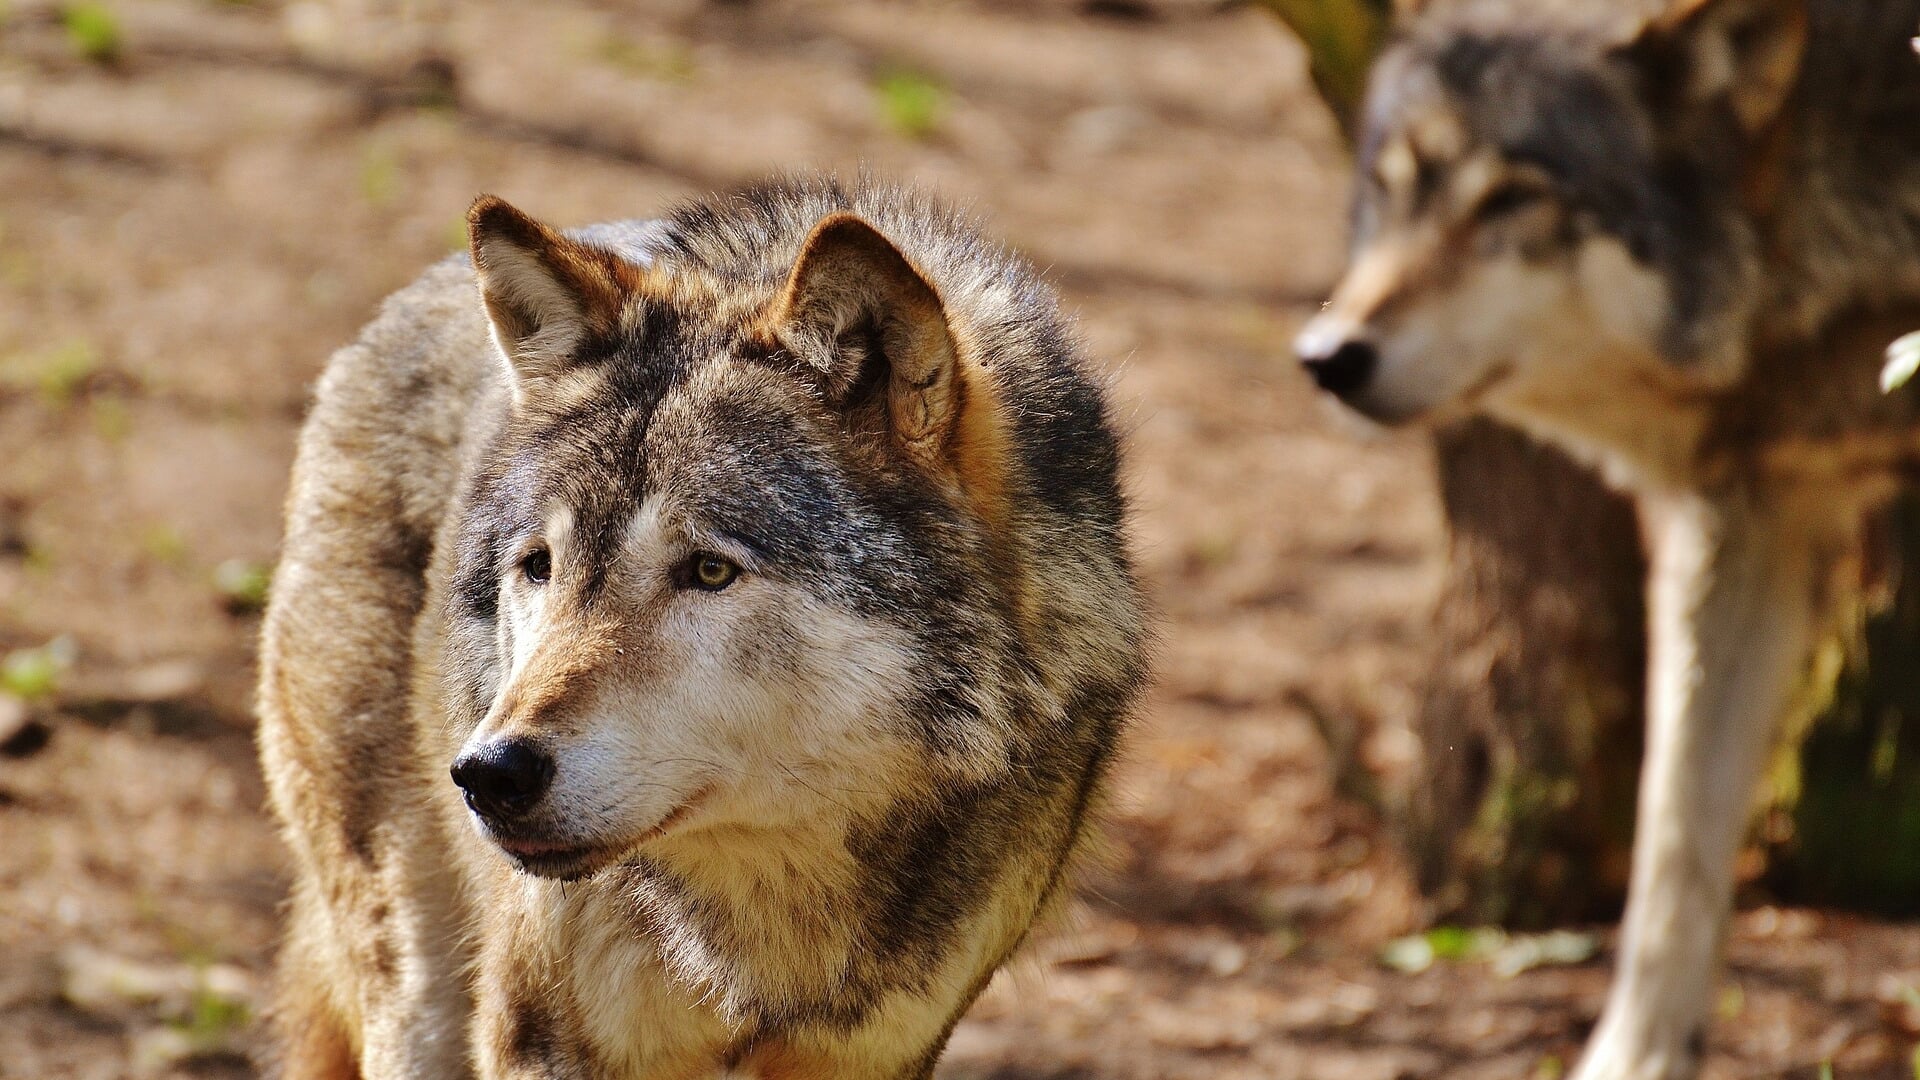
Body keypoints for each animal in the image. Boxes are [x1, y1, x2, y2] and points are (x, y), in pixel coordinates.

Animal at [254, 176, 1149, 1080]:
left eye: (710, 571)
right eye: (540, 566)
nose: (490, 774)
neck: (768, 922)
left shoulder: (884, 1052)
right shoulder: (541, 1040)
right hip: (414, 985)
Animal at [1294, 0, 1920, 1076]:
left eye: (1512, 199)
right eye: (1390, 187)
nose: (1328, 357)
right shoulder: (1741, 520)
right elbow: (1675, 838)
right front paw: (1636, 1058)